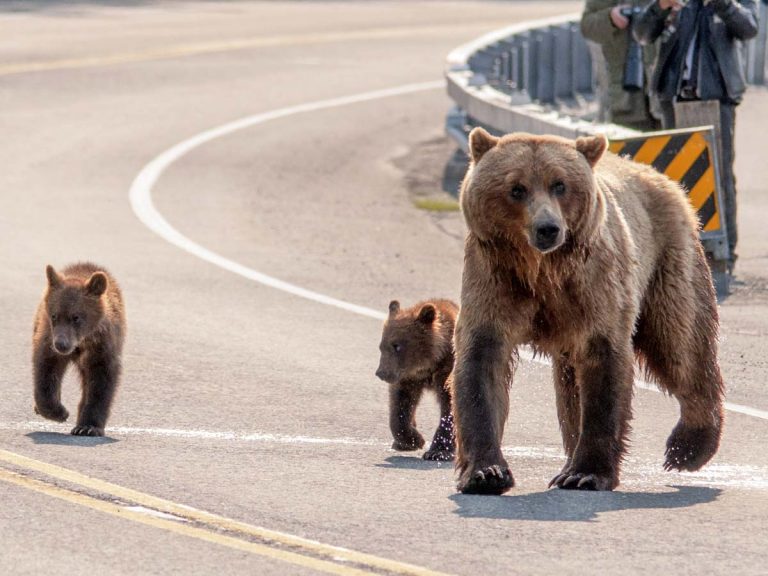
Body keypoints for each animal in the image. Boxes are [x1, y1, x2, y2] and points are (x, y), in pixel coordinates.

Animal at [456, 128, 728, 492]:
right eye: (516, 188)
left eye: (559, 184)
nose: (548, 228)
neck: (543, 270)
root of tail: (662, 177)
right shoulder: (495, 282)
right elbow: (482, 364)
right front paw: (486, 473)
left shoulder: (594, 288)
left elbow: (603, 366)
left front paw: (586, 473)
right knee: (571, 385)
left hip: (668, 261)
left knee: (680, 344)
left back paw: (688, 448)